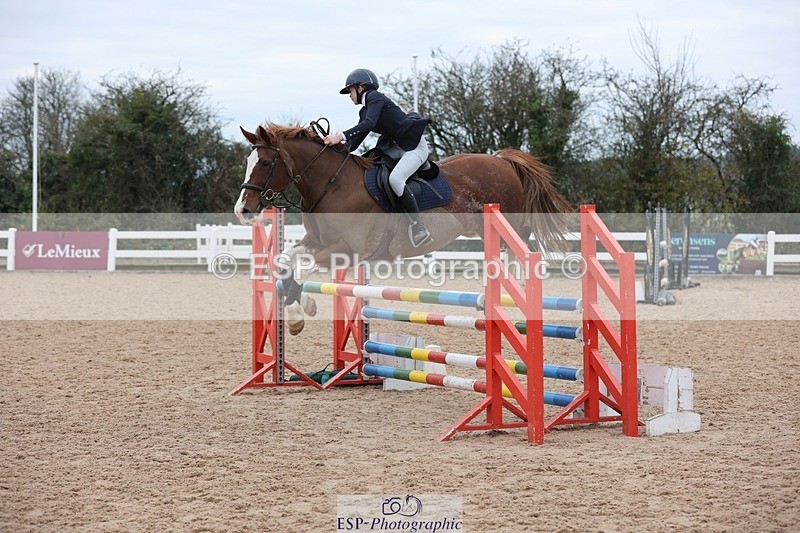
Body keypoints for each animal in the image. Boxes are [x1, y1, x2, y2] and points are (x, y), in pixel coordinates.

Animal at [235, 122, 573, 334]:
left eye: (265, 163)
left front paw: (297, 315)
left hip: (506, 222)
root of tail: (502, 160)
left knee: (521, 249)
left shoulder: (349, 250)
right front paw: (300, 310)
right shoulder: (316, 241)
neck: (332, 185)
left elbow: (302, 267)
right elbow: (285, 262)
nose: (243, 210)